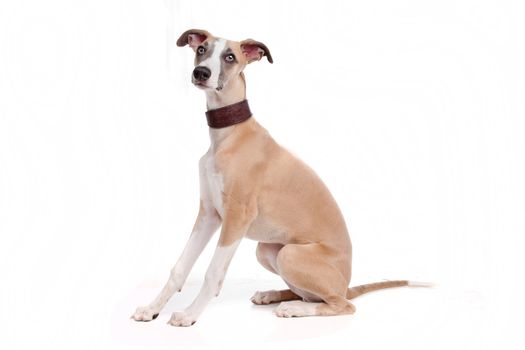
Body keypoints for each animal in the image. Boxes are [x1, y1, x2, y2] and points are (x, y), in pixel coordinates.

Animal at [132, 28, 426, 326]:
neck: (229, 134)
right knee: (311, 295)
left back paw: (294, 308)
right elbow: (179, 267)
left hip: (291, 254)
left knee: (339, 304)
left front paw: (190, 314)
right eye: (202, 50)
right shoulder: (209, 215)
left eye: (230, 56)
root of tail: (347, 284)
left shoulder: (236, 218)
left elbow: (213, 273)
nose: (201, 73)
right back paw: (272, 295)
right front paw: (151, 308)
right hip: (266, 250)